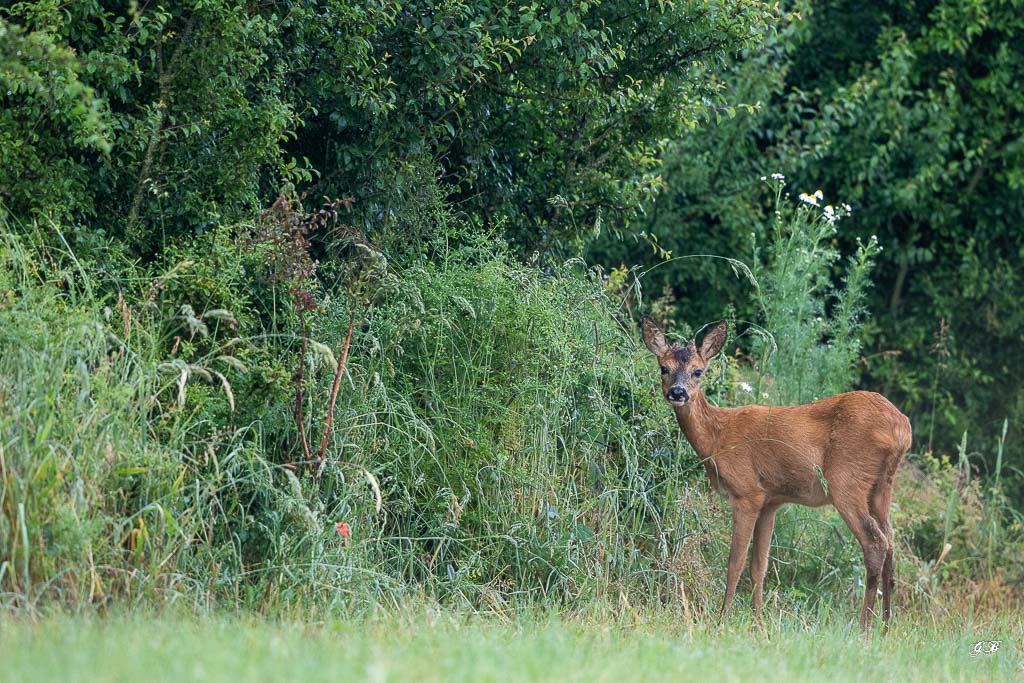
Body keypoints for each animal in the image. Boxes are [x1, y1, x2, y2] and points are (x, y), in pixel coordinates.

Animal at [642, 317, 912, 631]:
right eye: (664, 368)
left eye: (698, 371)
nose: (677, 393)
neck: (717, 437)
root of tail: (902, 429)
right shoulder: (770, 500)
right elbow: (759, 566)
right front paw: (758, 623)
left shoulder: (746, 492)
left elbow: (735, 562)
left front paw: (722, 620)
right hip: (882, 486)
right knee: (890, 541)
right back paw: (886, 627)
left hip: (847, 480)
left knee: (876, 542)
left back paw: (864, 629)